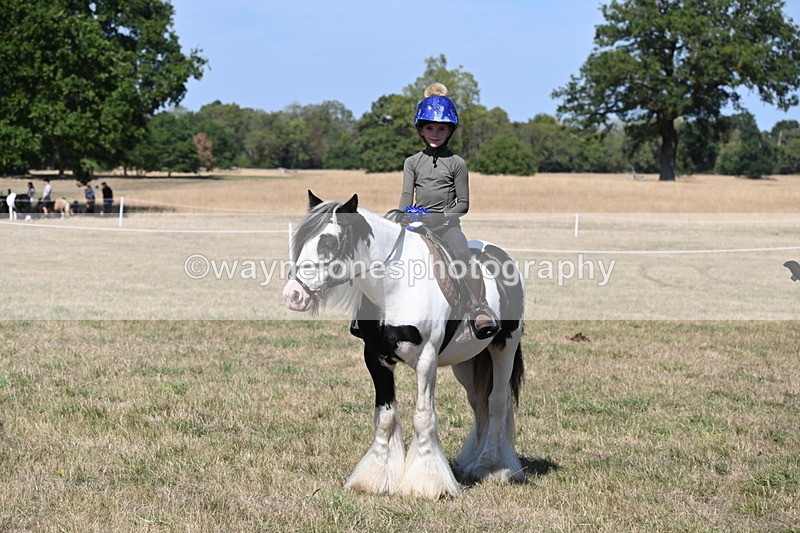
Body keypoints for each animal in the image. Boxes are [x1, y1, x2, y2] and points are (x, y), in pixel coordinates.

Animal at [282, 191, 526, 499]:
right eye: (302, 241)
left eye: (329, 242)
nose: (293, 295)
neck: (394, 286)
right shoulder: (375, 357)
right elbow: (385, 417)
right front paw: (375, 478)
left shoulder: (427, 360)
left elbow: (423, 416)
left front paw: (428, 483)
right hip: (466, 362)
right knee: (477, 401)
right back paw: (470, 462)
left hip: (504, 348)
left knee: (496, 401)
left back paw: (489, 466)